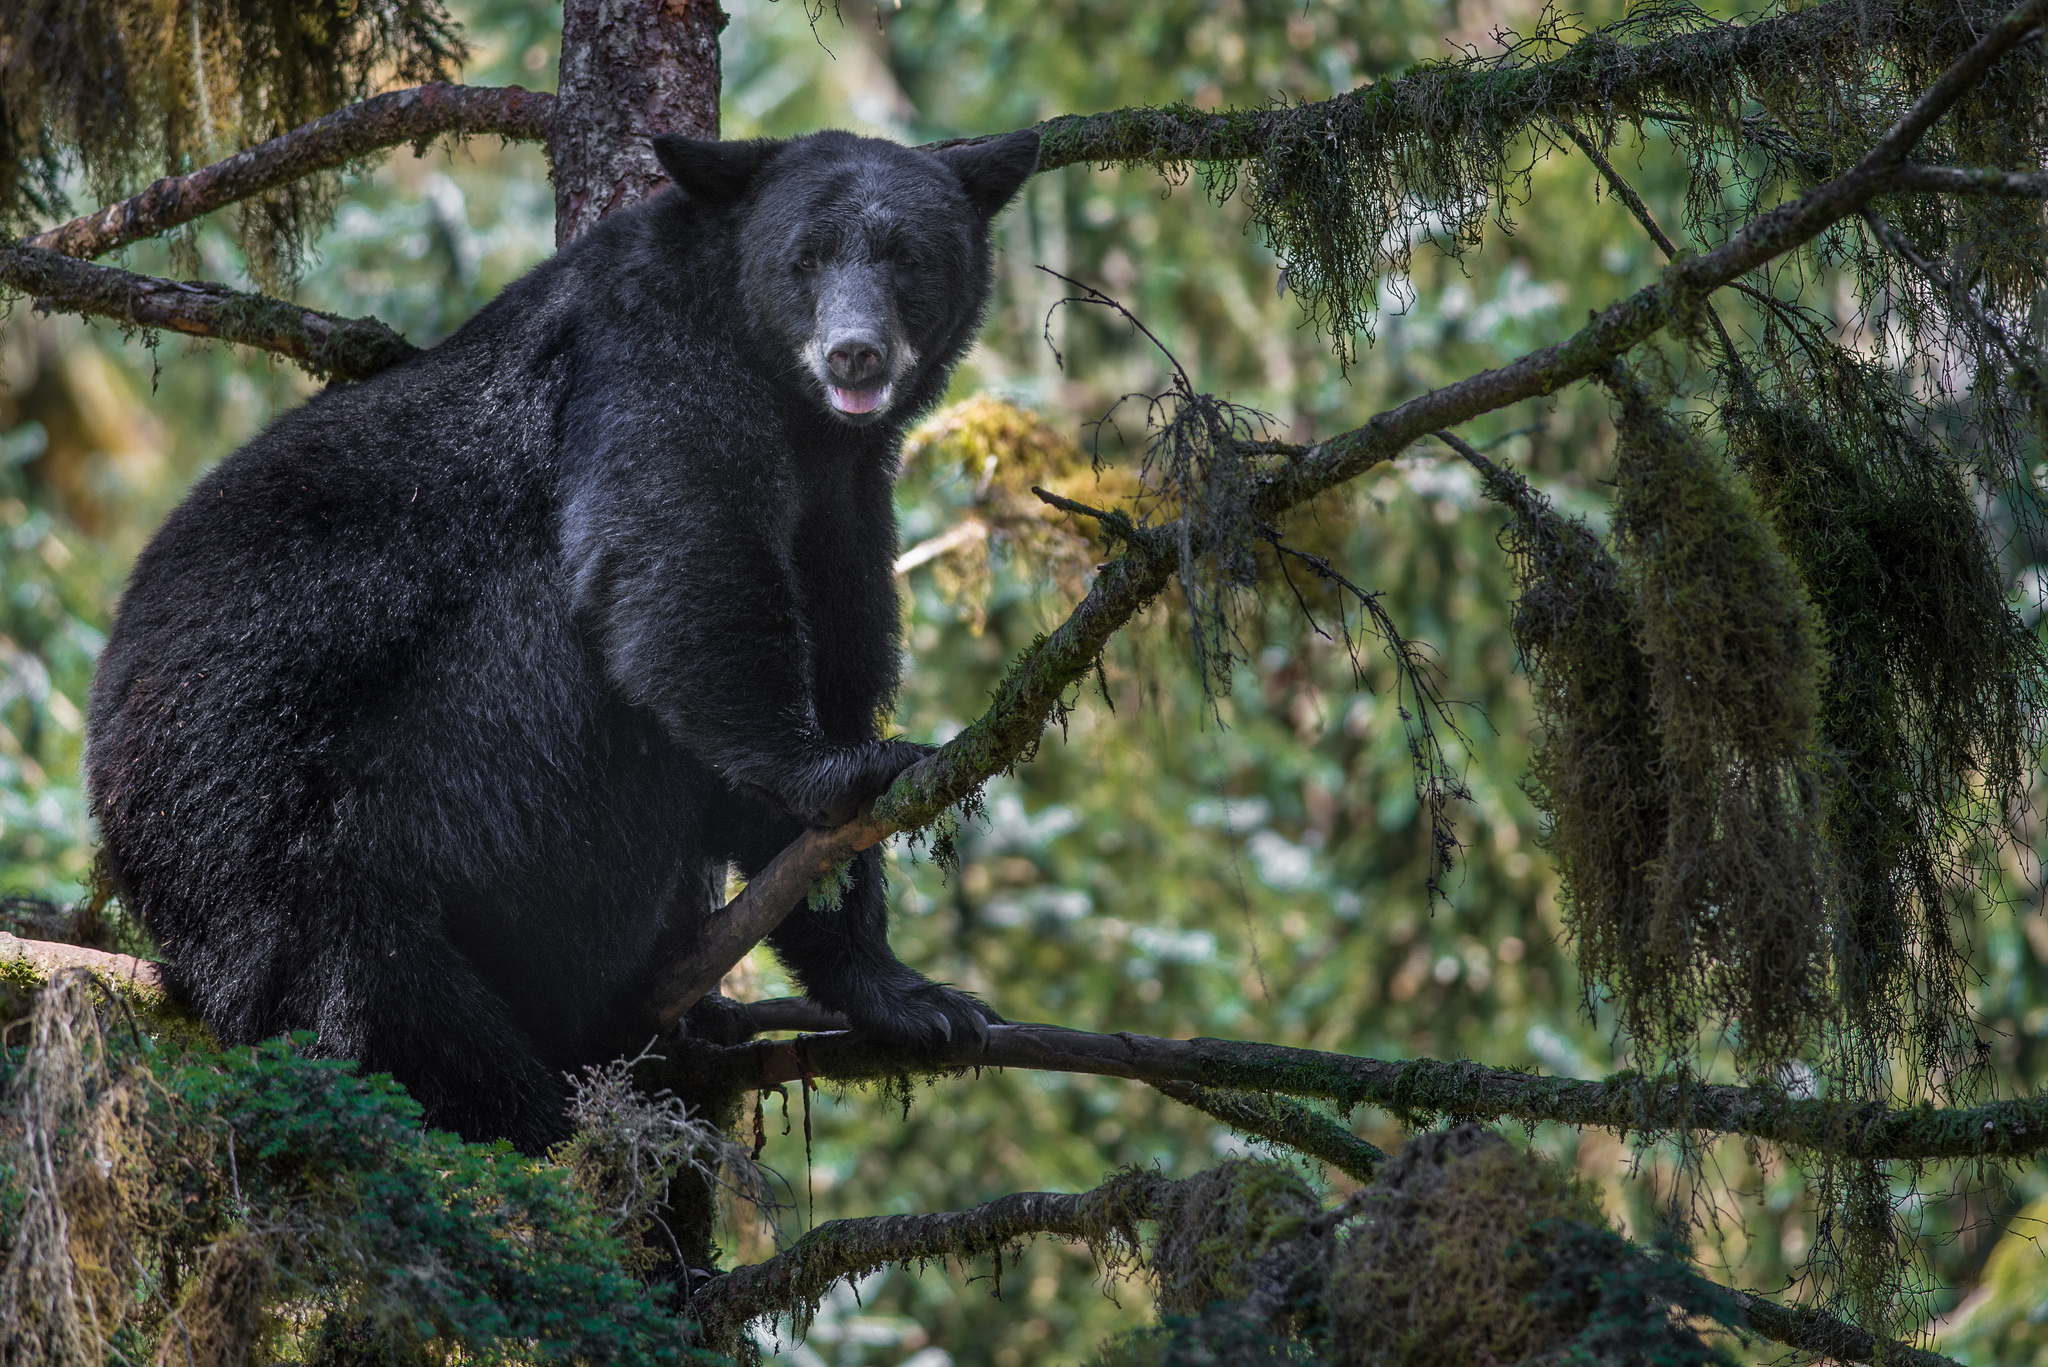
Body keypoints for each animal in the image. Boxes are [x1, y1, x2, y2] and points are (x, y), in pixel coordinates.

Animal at [81, 131, 1040, 1155]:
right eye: (806, 257)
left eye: (907, 256)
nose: (855, 351)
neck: (802, 422)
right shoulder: (647, 370)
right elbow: (679, 567)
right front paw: (836, 768)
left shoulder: (847, 506)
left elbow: (837, 679)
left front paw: (911, 994)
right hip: (326, 823)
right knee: (370, 986)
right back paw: (539, 1115)